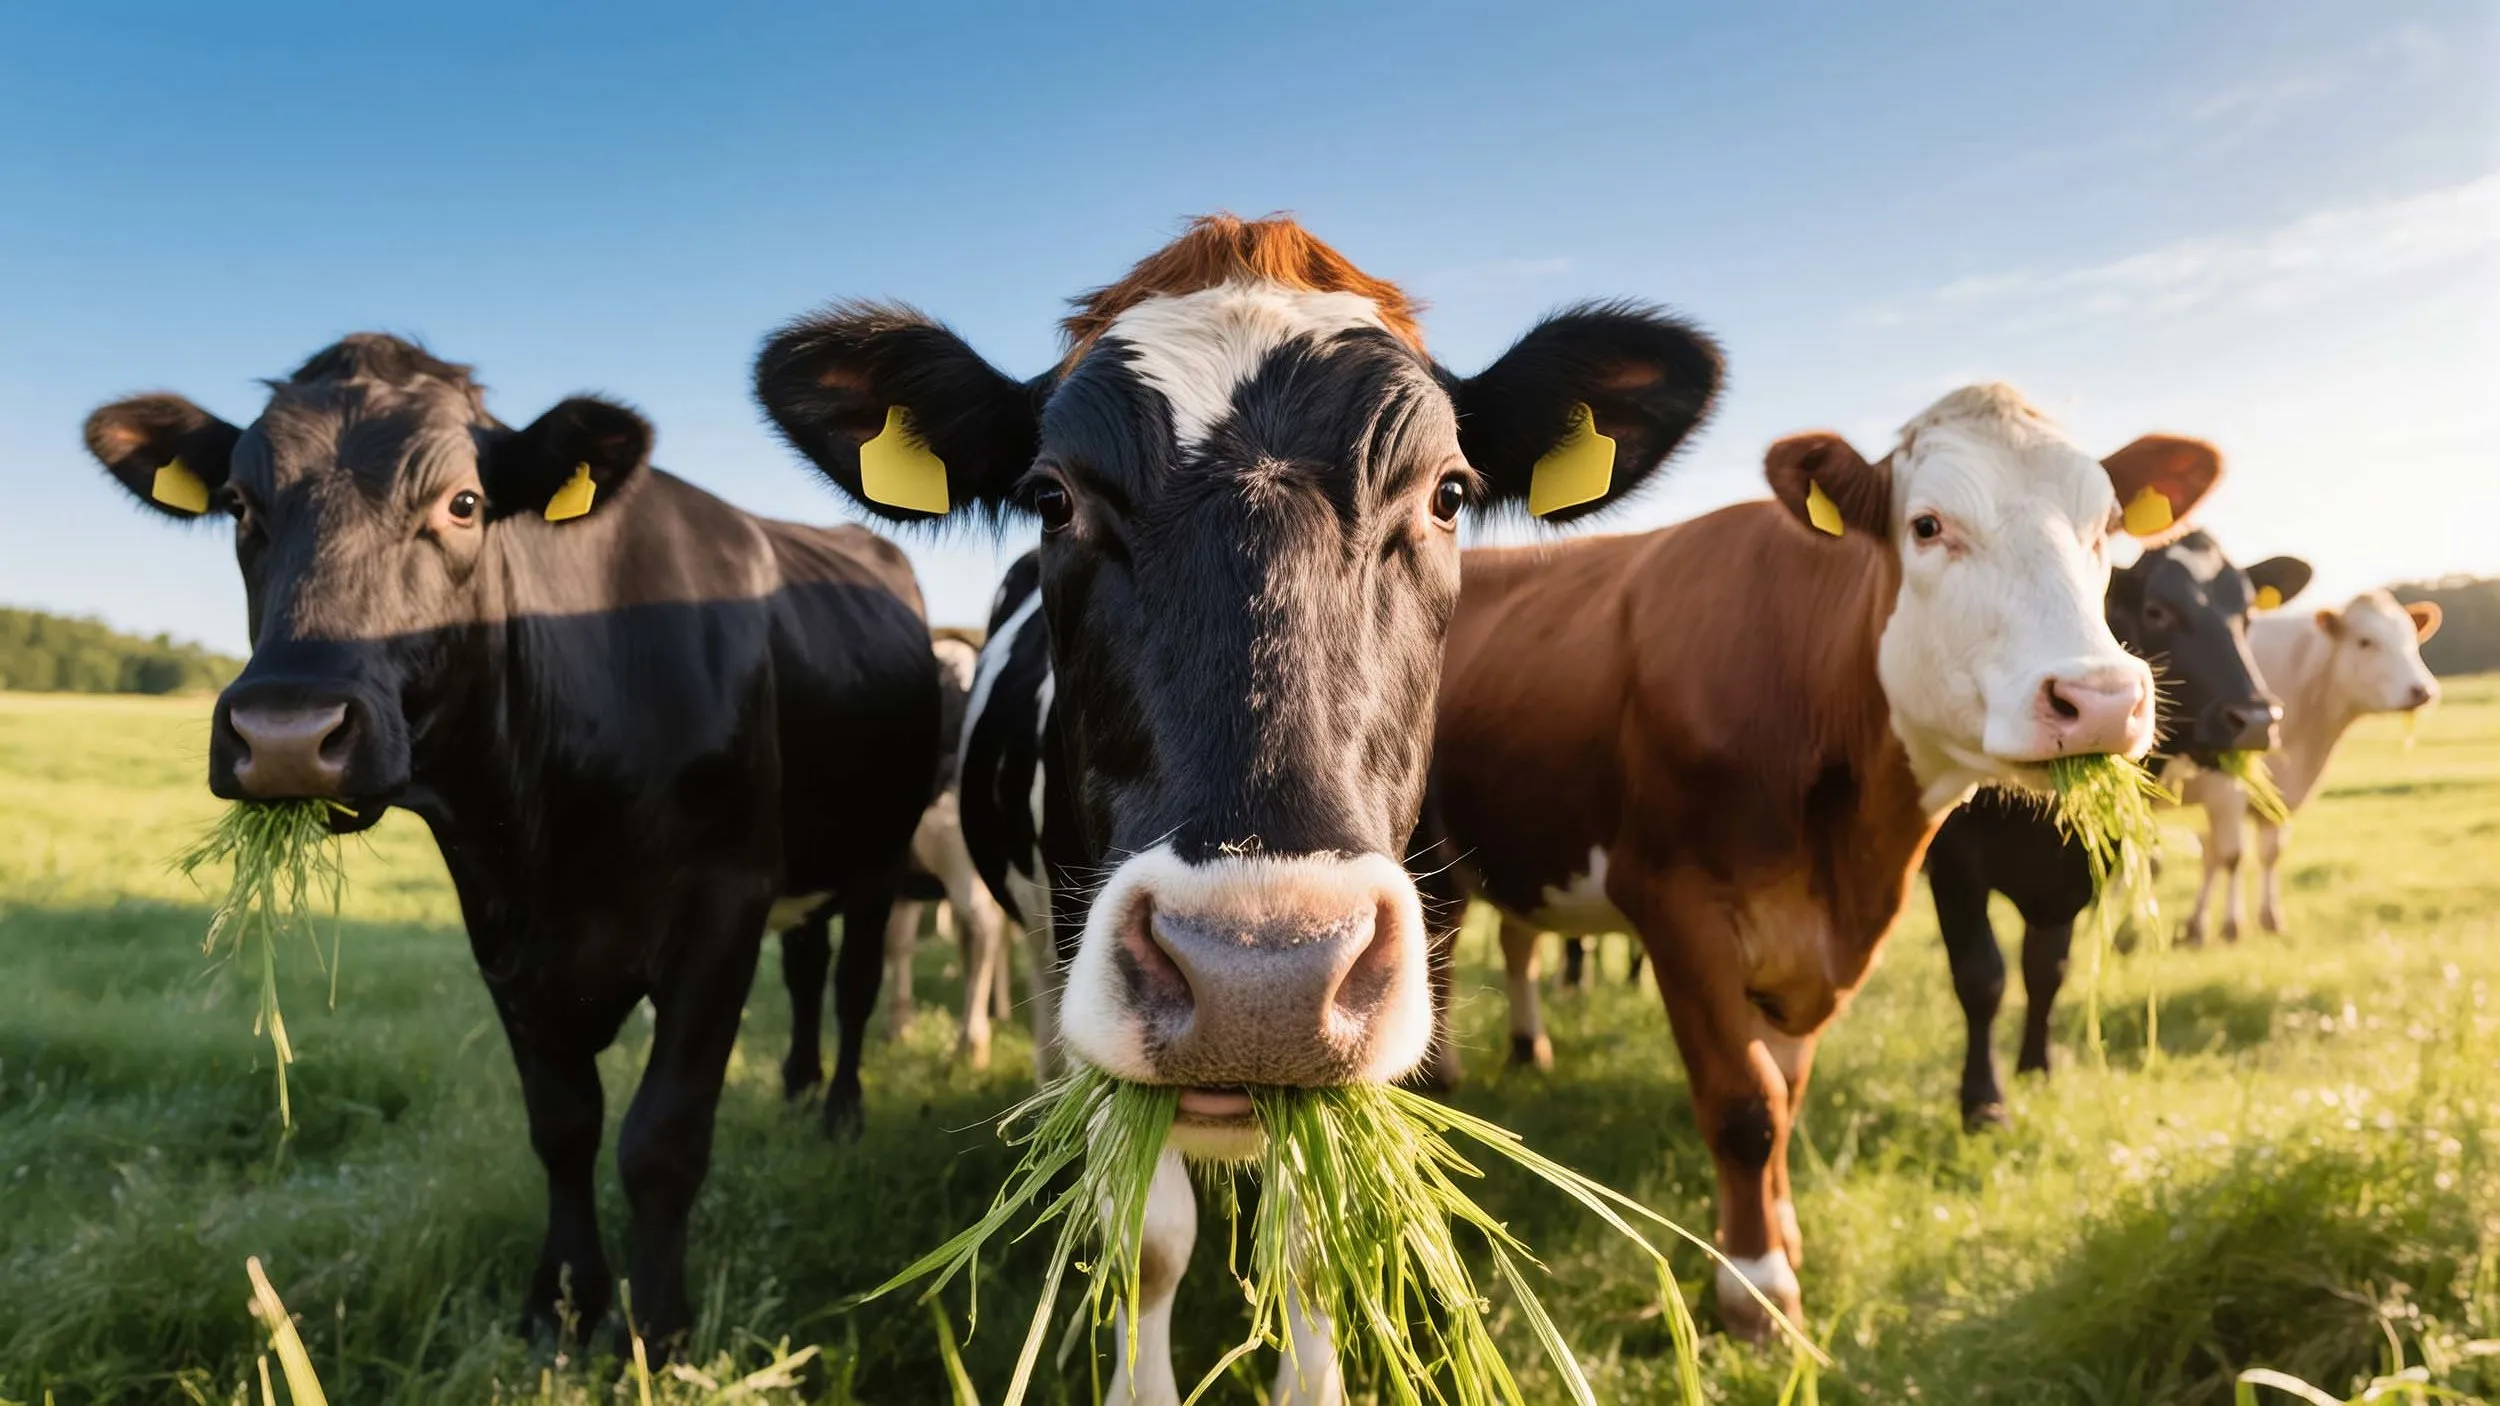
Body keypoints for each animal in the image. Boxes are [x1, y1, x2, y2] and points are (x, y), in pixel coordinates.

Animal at [82, 335, 940, 1351]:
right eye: (240, 505)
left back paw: (840, 1111)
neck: (551, 829)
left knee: (851, 988)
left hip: (881, 852)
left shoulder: (720, 906)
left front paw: (659, 1330)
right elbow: (563, 1125)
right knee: (808, 970)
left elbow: (662, 1137)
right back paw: (799, 1088)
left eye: (463, 503)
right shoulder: (501, 923)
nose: (286, 732)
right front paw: (561, 1304)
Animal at [1422, 386, 2221, 1339]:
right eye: (1927, 526)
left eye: (2106, 526)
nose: (2100, 699)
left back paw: (1523, 1051)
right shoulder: (1675, 909)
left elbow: (1786, 1091)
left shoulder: (1810, 942)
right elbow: (1744, 1105)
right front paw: (1755, 1285)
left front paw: (1779, 1234)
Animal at [1928, 530, 2313, 1130]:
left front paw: (2037, 1068)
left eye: (2247, 614)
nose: (2254, 720)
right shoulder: (1954, 861)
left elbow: (2046, 969)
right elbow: (1981, 977)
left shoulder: (2077, 871)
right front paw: (1984, 1102)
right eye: (2157, 610)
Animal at [2177, 588, 2442, 942]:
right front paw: (2231, 925)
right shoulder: (2224, 790)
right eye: (2365, 641)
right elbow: (2230, 856)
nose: (2422, 690)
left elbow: (2263, 853)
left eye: (2412, 638)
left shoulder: (2275, 797)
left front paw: (2265, 919)